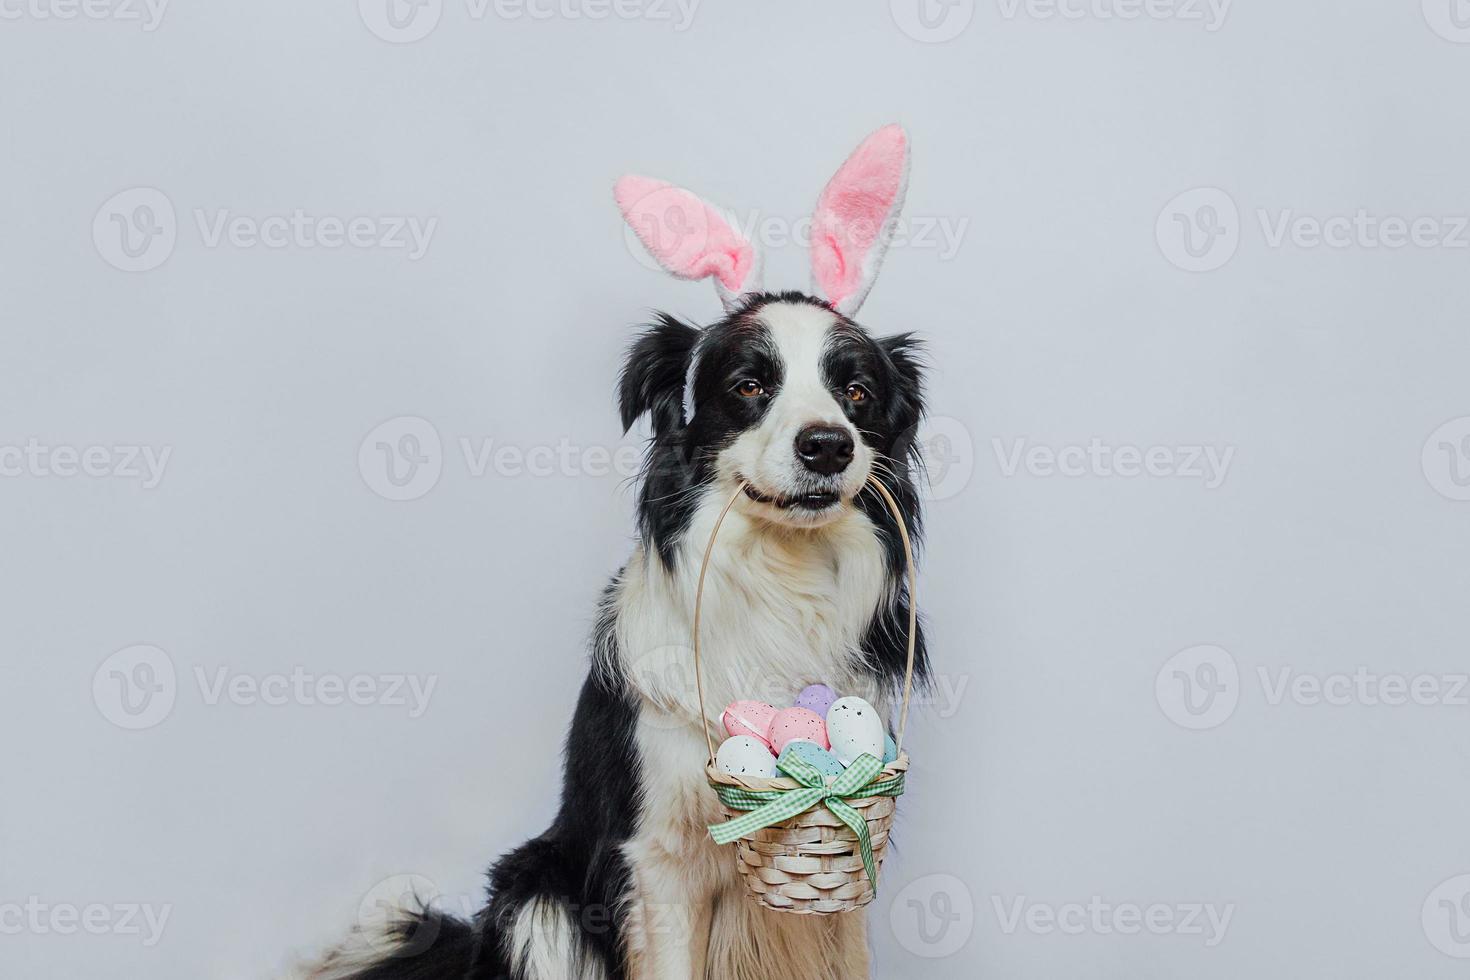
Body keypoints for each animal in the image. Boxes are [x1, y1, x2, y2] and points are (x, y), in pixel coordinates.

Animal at [313, 124, 929, 980]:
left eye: (858, 392)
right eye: (748, 386)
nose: (828, 445)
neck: (778, 574)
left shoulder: (835, 869)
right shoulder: (656, 858)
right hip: (541, 893)